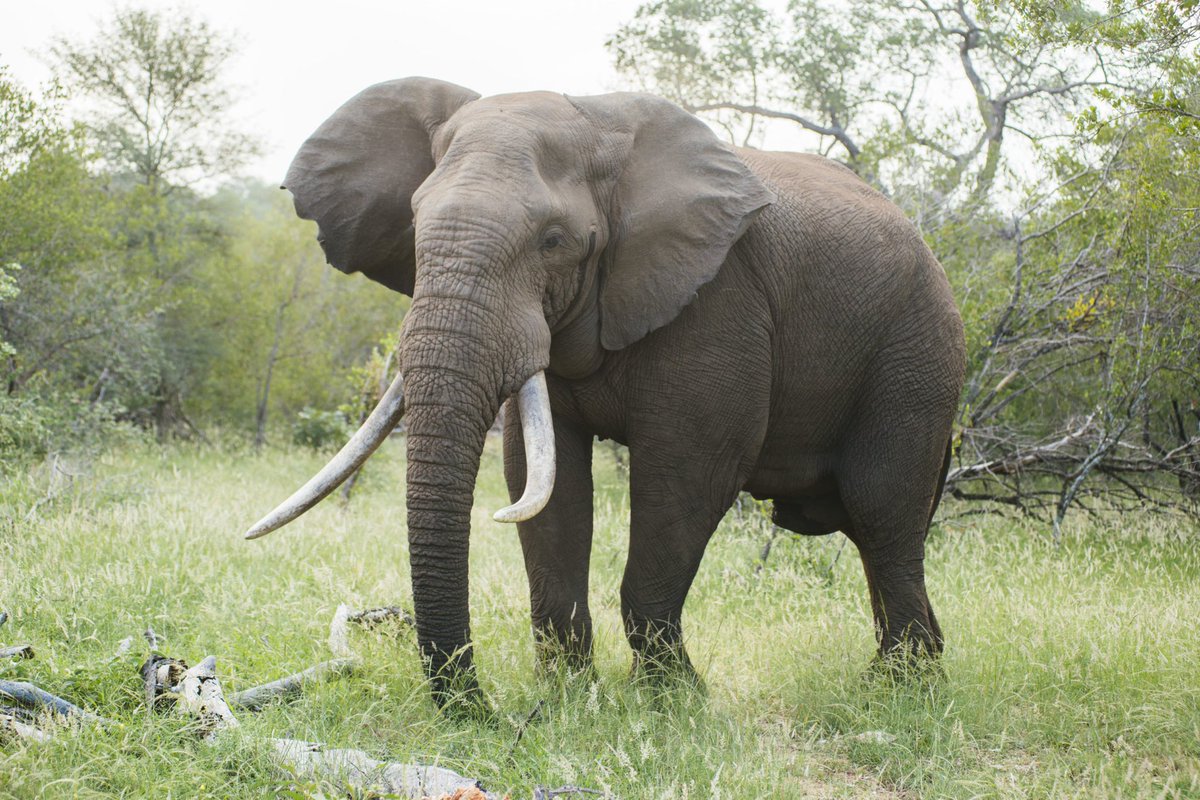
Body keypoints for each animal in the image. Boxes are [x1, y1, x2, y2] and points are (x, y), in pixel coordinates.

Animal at [246, 77, 966, 712]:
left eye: (553, 241)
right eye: (416, 227)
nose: (481, 709)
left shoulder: (719, 305)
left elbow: (687, 473)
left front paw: (673, 702)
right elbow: (542, 481)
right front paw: (567, 694)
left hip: (916, 356)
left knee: (882, 515)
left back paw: (902, 690)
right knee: (877, 531)